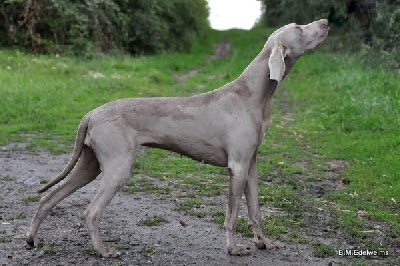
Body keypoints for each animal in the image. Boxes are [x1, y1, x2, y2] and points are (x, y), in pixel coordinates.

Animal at [27, 19, 328, 258]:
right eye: (299, 28)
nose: (325, 21)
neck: (253, 94)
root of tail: (91, 113)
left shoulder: (251, 165)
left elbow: (255, 211)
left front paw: (264, 243)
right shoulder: (238, 167)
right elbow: (232, 215)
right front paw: (233, 248)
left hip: (91, 165)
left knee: (47, 199)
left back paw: (32, 239)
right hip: (118, 166)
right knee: (90, 212)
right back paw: (103, 251)